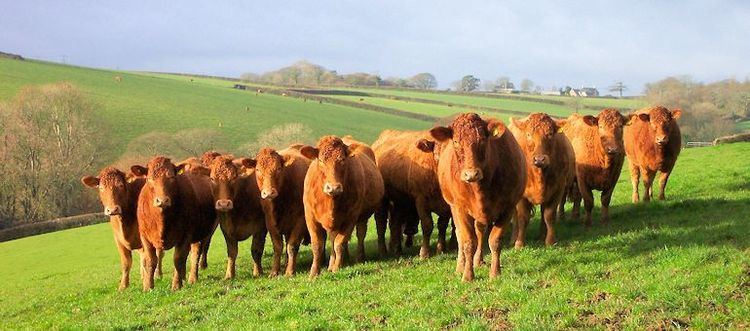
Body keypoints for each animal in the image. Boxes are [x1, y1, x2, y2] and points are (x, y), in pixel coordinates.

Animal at [129, 157, 216, 292]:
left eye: (171, 177)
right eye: (149, 179)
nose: (162, 201)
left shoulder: (186, 235)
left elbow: (178, 258)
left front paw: (176, 285)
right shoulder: (144, 236)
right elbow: (151, 260)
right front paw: (148, 286)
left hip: (201, 233)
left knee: (196, 253)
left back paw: (192, 278)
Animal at [242, 148, 310, 278]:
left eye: (278, 168)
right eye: (257, 169)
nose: (269, 193)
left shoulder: (300, 221)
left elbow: (292, 246)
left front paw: (289, 271)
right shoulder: (270, 222)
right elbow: (278, 247)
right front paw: (274, 271)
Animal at [300, 135, 384, 278]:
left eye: (343, 160)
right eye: (321, 160)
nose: (334, 188)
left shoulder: (350, 218)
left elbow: (339, 244)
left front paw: (336, 268)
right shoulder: (310, 217)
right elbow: (317, 246)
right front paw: (314, 273)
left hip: (362, 217)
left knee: (360, 234)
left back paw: (358, 258)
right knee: (332, 238)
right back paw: (334, 263)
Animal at [428, 115, 528, 282]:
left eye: (482, 140)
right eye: (456, 141)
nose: (471, 174)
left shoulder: (507, 207)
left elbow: (495, 240)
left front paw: (495, 273)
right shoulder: (460, 209)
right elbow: (468, 242)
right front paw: (467, 276)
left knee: (480, 231)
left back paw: (478, 261)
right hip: (454, 207)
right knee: (460, 236)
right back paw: (461, 266)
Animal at [512, 113, 576, 248]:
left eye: (550, 134)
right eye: (528, 134)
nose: (539, 159)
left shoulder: (558, 189)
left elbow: (549, 216)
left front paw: (550, 241)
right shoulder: (521, 196)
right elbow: (522, 217)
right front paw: (519, 243)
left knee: (542, 214)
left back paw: (541, 235)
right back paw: (513, 237)